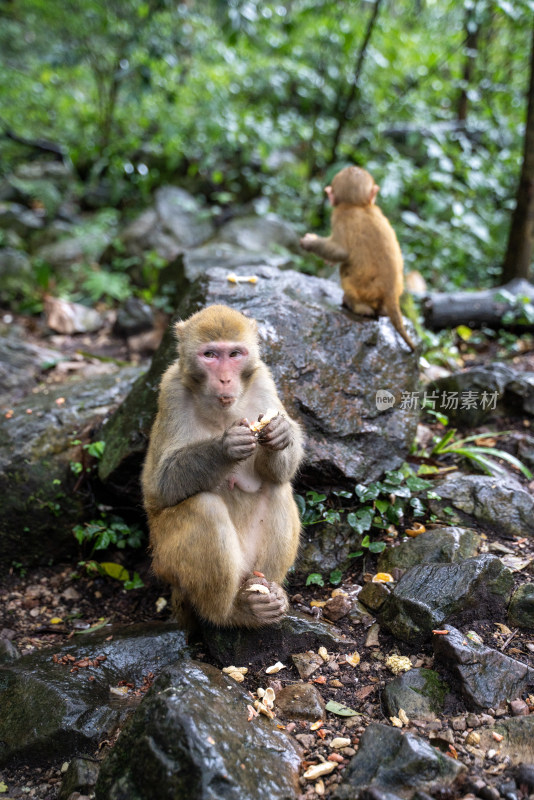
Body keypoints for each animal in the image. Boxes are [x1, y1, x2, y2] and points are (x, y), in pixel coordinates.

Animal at [141, 304, 306, 628]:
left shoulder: (263, 380)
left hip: (249, 565)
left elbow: (277, 472)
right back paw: (232, 611)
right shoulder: (171, 391)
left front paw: (280, 433)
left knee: (278, 489)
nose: (226, 380)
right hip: (166, 562)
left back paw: (269, 595)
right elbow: (161, 484)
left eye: (234, 354)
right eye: (210, 355)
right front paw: (226, 447)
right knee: (205, 508)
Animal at [304, 165, 416, 350]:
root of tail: (391, 292)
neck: (360, 206)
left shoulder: (340, 216)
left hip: (364, 289)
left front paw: (310, 242)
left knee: (345, 270)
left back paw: (356, 306)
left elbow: (341, 251)